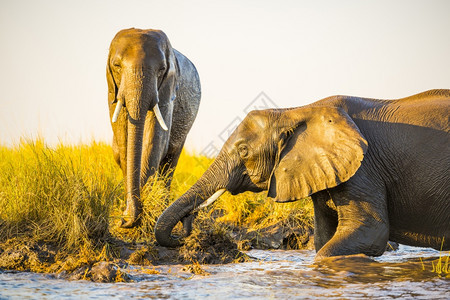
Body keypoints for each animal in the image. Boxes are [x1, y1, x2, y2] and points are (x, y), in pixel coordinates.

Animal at [107, 29, 200, 229]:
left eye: (162, 70)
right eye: (116, 66)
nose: (122, 221)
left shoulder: (167, 91)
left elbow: (155, 140)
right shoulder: (113, 90)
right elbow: (123, 140)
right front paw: (129, 213)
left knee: (170, 162)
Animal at [156, 88, 450, 258]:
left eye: (243, 151)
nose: (183, 236)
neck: (296, 111)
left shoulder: (364, 169)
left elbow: (369, 232)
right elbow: (323, 237)